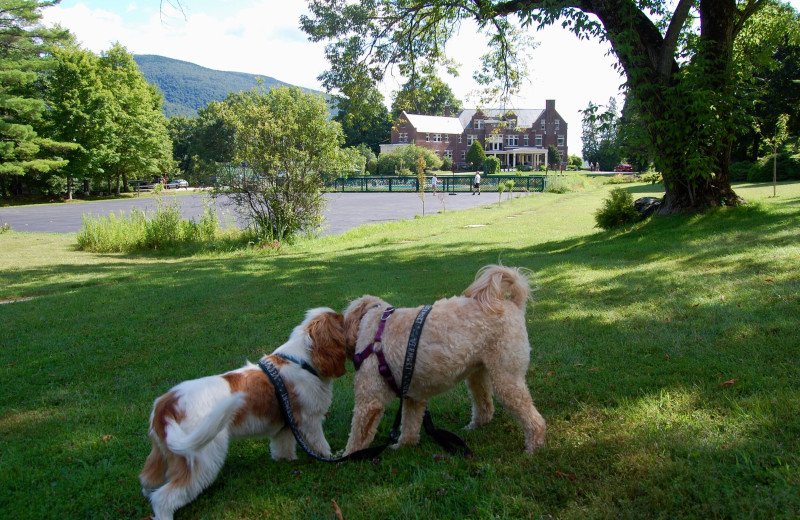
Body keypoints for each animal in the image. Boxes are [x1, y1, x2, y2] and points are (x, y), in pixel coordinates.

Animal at [141, 306, 346, 516]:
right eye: (342, 321)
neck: (302, 361)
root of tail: (166, 404)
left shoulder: (285, 427)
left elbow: (283, 446)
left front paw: (286, 461)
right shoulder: (310, 421)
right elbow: (321, 445)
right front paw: (333, 458)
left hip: (163, 454)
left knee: (148, 481)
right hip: (201, 457)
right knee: (163, 498)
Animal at [340, 266, 548, 458]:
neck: (377, 322)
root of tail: (513, 304)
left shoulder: (370, 401)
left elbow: (358, 436)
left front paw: (347, 457)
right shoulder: (413, 396)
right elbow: (410, 425)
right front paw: (404, 446)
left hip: (507, 378)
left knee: (533, 418)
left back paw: (534, 447)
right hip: (478, 374)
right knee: (485, 405)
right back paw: (474, 426)